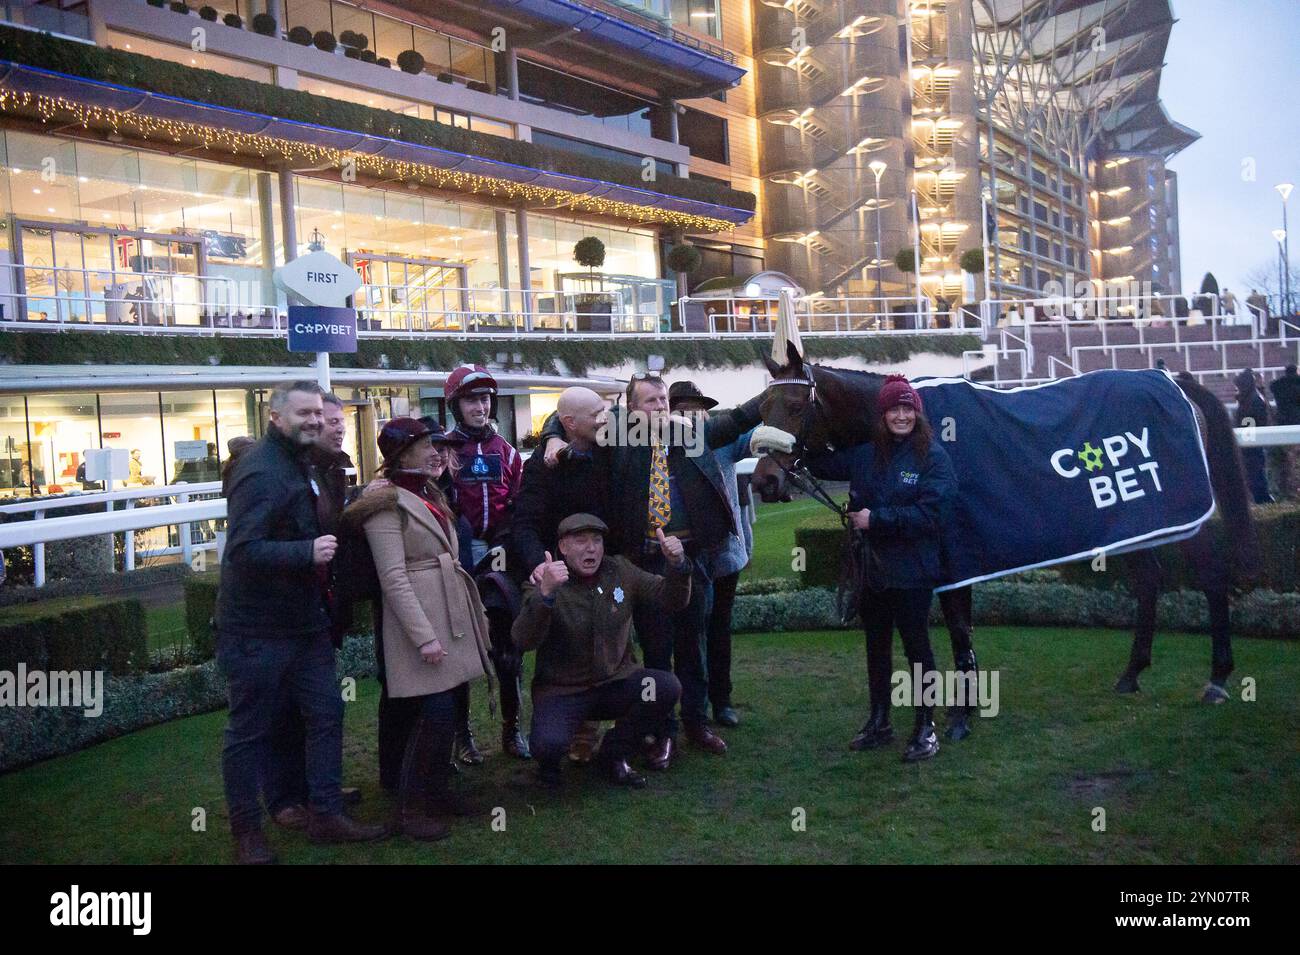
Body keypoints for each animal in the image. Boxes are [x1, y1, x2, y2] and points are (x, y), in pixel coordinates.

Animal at [754, 343, 1258, 701]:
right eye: (760, 409)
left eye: (797, 406)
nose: (764, 481)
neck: (918, 431)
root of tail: (1175, 380)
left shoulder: (955, 553)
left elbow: (960, 627)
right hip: (1138, 517)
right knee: (1150, 580)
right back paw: (1131, 673)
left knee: (1211, 576)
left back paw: (1217, 678)